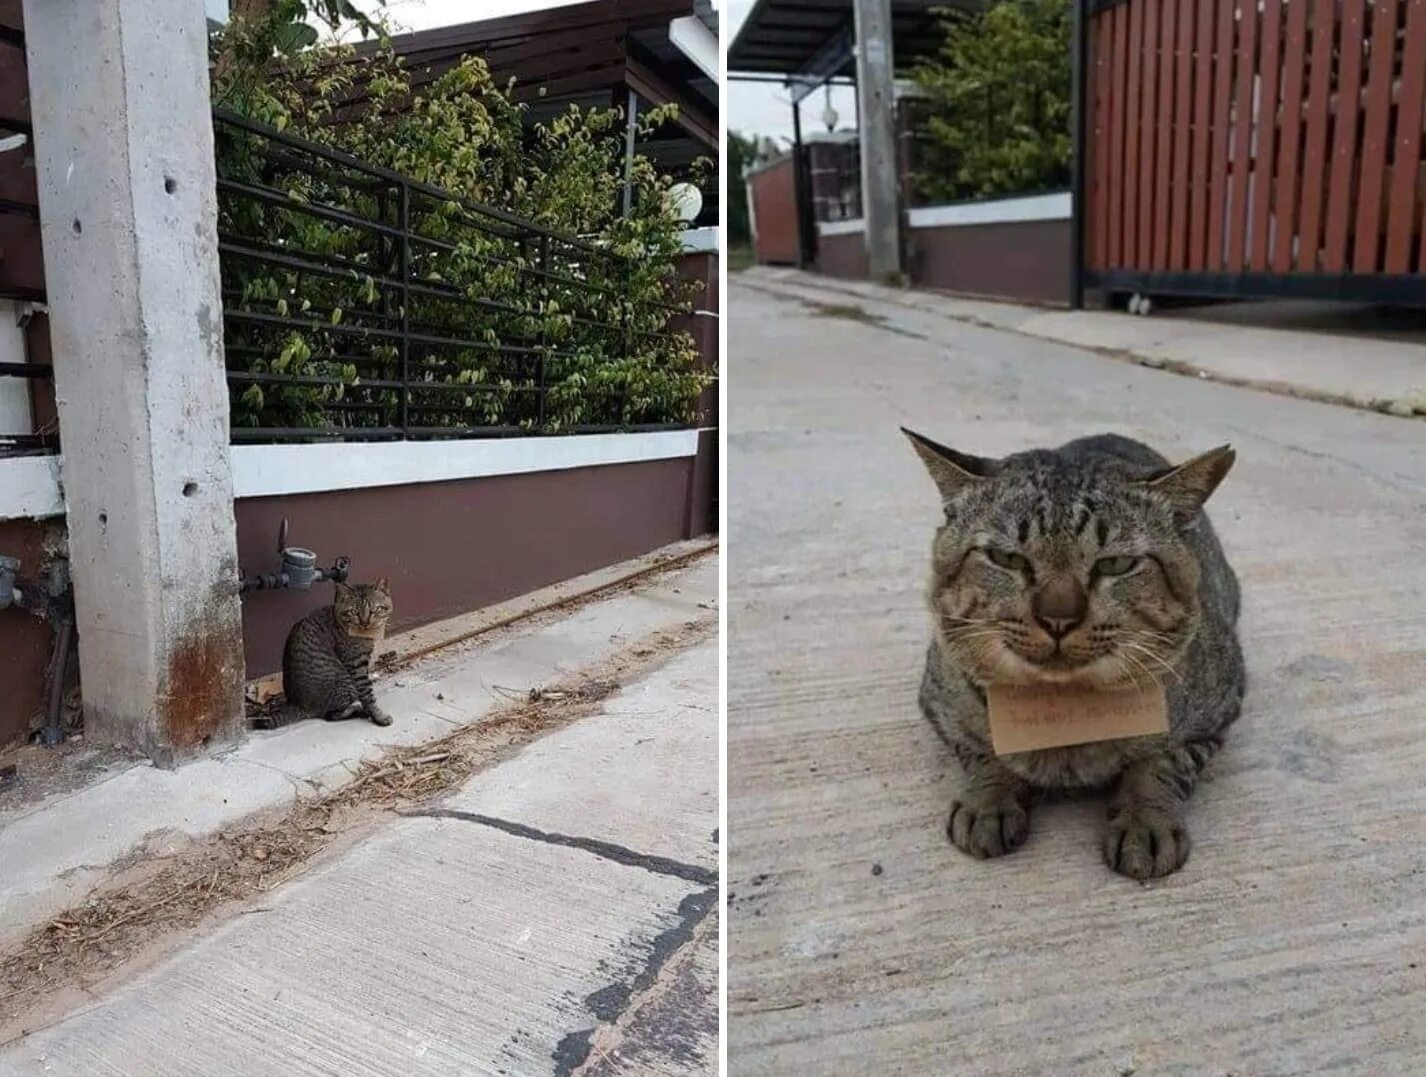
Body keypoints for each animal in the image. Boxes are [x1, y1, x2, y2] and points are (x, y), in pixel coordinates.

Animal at [250, 582, 396, 730]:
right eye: (353, 612)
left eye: (374, 610)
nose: (364, 622)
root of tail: (298, 705)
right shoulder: (356, 664)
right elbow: (367, 693)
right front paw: (378, 716)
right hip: (345, 681)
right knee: (330, 715)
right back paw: (358, 709)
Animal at [906, 433, 1243, 878]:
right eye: (1006, 558)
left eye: (1116, 564)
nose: (1058, 618)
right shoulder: (937, 702)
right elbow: (981, 750)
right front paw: (989, 800)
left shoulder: (1220, 709)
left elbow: (1162, 763)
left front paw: (1145, 818)